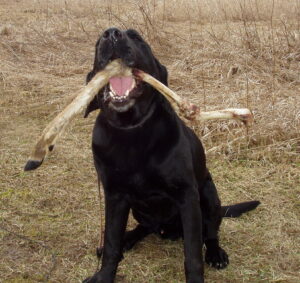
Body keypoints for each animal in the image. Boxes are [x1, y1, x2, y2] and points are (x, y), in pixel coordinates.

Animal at [82, 28, 260, 283]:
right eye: (98, 42)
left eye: (136, 37)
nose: (111, 34)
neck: (131, 131)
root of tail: (168, 230)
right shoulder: (115, 196)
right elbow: (111, 245)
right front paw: (104, 276)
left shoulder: (187, 196)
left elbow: (193, 254)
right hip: (137, 209)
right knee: (143, 228)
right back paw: (129, 238)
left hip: (209, 194)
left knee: (210, 233)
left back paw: (216, 253)